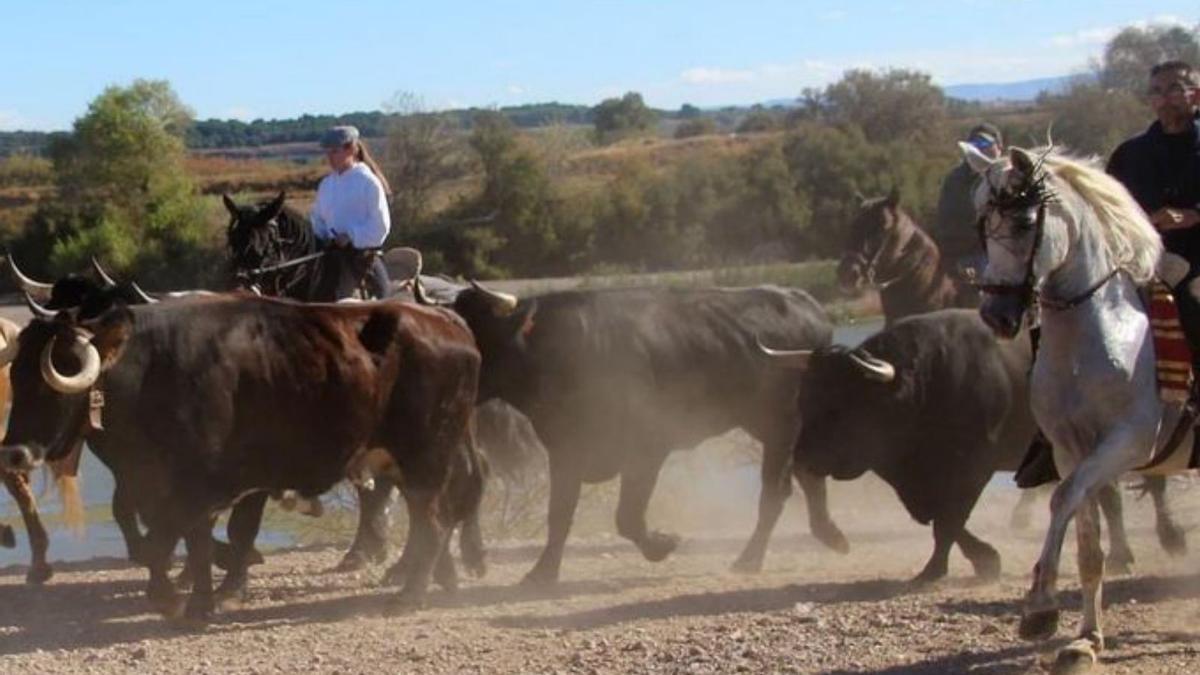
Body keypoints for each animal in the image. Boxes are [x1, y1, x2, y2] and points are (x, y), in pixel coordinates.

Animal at [0, 291, 482, 619]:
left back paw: (410, 594)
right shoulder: (173, 487)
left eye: (49, 382)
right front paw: (199, 600)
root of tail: (448, 321)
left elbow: (171, 541)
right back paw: (436, 579)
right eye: (16, 376)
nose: (14, 453)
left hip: (425, 460)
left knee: (434, 523)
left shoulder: (204, 484)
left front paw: (177, 596)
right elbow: (190, 541)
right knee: (433, 519)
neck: (156, 370)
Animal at [451, 281, 854, 581]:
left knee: (775, 491)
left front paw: (663, 544)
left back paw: (750, 559)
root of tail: (807, 305)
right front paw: (542, 573)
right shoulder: (566, 450)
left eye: (473, 331)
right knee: (807, 476)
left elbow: (627, 515)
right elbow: (560, 514)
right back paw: (831, 535)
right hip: (771, 425)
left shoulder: (647, 448)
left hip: (779, 423)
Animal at [955, 140, 1190, 667]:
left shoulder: (1127, 442)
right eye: (981, 222)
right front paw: (1084, 637)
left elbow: (1062, 499)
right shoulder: (1070, 450)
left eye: (1025, 222)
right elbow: (1086, 538)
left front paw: (1040, 603)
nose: (996, 315)